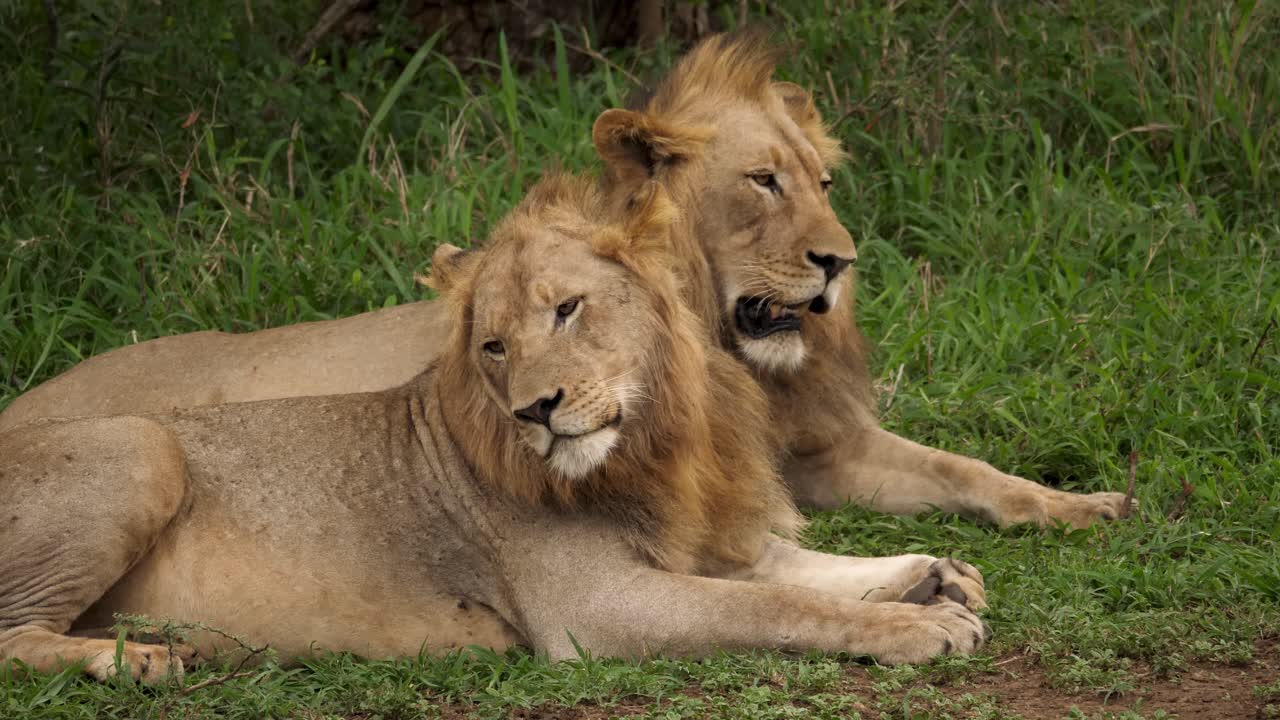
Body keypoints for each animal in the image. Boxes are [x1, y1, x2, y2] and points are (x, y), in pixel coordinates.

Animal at [0, 34, 1129, 529]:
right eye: (762, 181)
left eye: (823, 181)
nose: (840, 262)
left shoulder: (823, 447)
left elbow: (966, 470)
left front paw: (1080, 503)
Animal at [0, 174, 987, 684]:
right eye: (494, 346)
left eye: (567, 310)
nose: (535, 411)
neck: (651, 444)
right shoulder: (594, 611)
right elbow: (775, 605)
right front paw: (920, 628)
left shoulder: (701, 541)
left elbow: (803, 568)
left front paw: (935, 576)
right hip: (143, 441)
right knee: (11, 637)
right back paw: (142, 660)